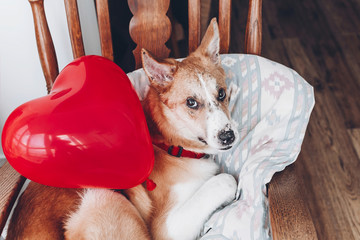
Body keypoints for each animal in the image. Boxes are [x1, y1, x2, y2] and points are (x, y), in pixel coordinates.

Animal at [6, 18, 239, 240]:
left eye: (221, 93)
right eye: (191, 102)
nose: (228, 137)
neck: (169, 144)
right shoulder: (167, 227)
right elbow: (224, 180)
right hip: (103, 197)